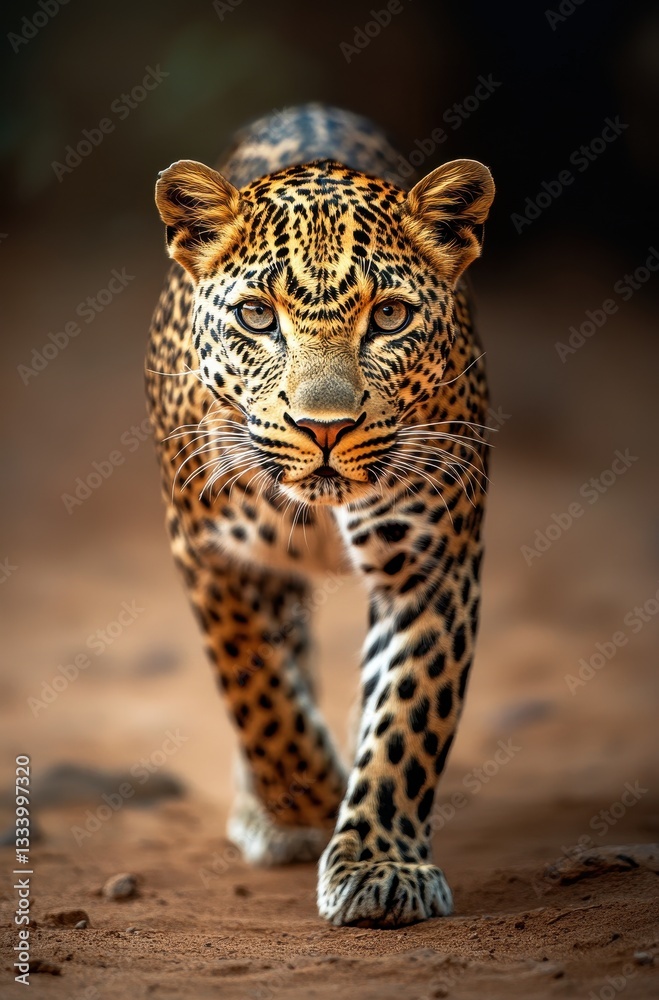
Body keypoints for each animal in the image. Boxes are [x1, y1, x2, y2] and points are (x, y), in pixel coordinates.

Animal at [145, 103, 495, 928]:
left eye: (390, 316)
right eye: (255, 316)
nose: (324, 428)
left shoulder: (431, 563)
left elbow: (406, 718)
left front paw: (379, 865)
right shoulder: (208, 551)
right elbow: (258, 694)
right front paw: (309, 800)